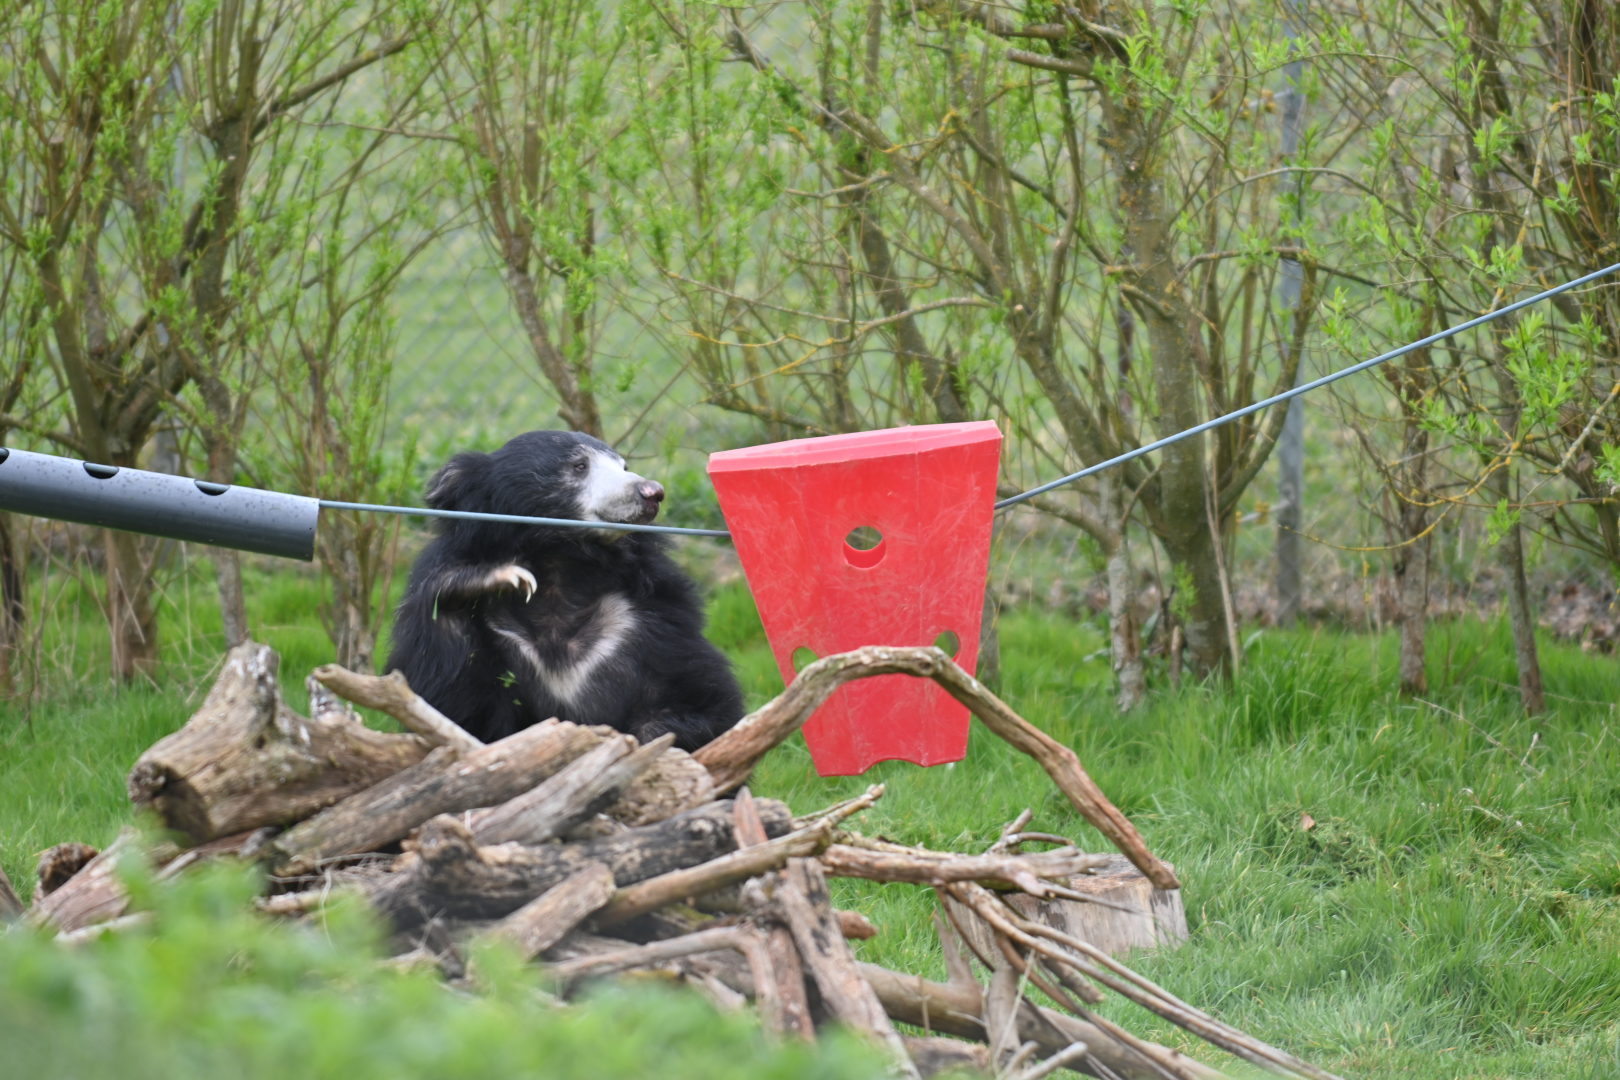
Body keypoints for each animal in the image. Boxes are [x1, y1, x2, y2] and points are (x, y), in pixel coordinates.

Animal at [385, 430, 746, 751]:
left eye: (624, 466)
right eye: (579, 466)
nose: (652, 492)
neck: (561, 566)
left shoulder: (651, 617)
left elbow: (699, 698)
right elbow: (460, 709)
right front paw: (494, 577)